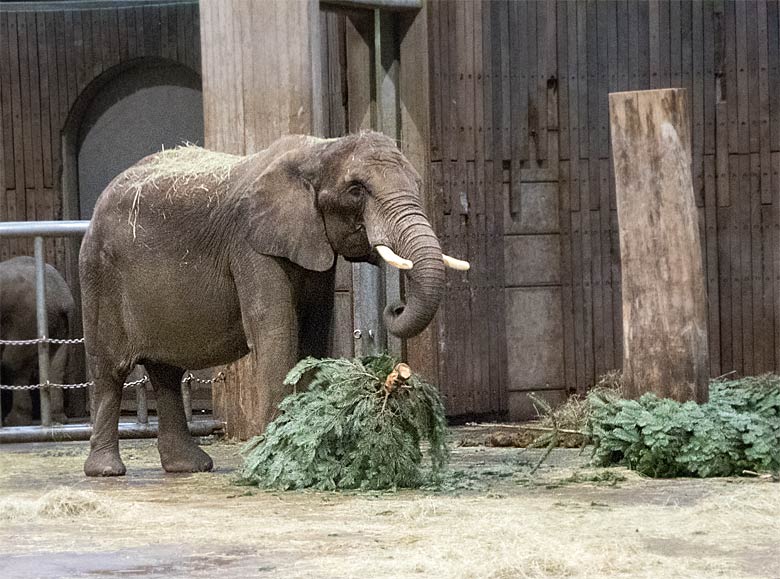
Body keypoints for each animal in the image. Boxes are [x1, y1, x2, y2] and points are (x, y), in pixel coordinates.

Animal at [0, 258, 74, 426]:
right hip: (59, 325)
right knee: (57, 366)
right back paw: (58, 418)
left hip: (27, 320)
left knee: (12, 362)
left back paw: (16, 421)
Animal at [81, 131, 466, 476]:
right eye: (357, 190)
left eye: (417, 183)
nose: (395, 307)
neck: (320, 150)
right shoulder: (251, 244)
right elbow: (276, 331)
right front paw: (274, 456)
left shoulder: (311, 244)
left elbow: (314, 334)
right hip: (99, 273)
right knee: (110, 370)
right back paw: (107, 470)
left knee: (167, 372)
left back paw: (188, 467)